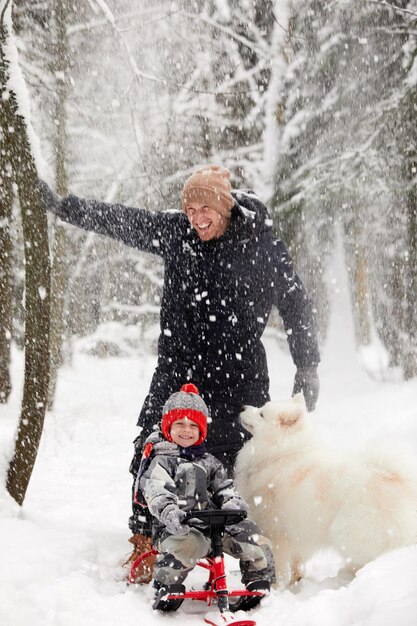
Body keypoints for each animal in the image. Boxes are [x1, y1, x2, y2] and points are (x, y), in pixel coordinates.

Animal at [236, 392, 416, 588]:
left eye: (262, 414)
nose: (242, 407)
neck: (282, 455)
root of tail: (397, 479)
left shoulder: (276, 530)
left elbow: (277, 562)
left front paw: (276, 587)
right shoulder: (297, 532)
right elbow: (297, 562)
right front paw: (295, 583)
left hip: (348, 532)